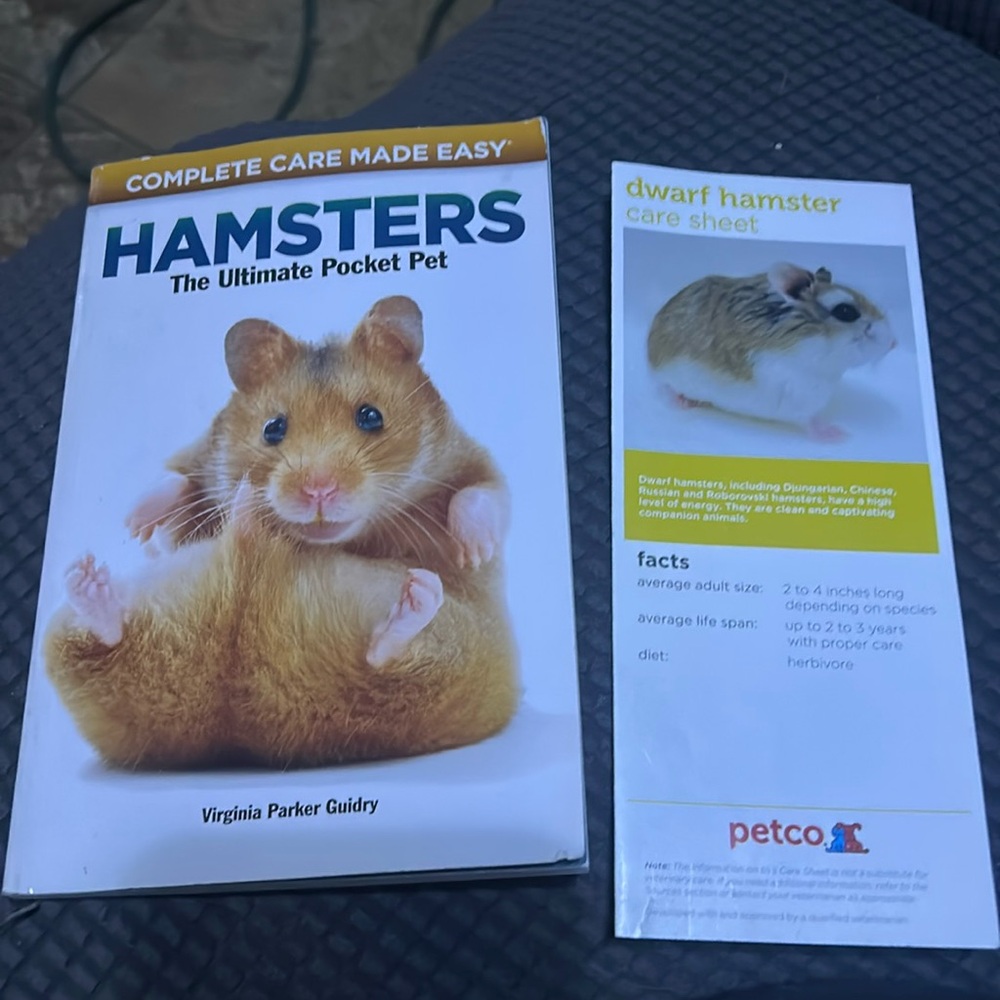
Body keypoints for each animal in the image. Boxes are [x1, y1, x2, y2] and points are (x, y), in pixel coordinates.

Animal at [126, 295, 508, 592]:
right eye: (272, 428)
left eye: (371, 416)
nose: (318, 491)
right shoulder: (200, 457)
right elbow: (173, 484)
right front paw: (134, 528)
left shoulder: (469, 456)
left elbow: (481, 492)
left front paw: (474, 552)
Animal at [647, 263, 896, 441]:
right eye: (846, 311)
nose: (894, 343)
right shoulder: (798, 395)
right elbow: (810, 422)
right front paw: (837, 434)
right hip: (669, 375)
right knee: (664, 389)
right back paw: (684, 402)